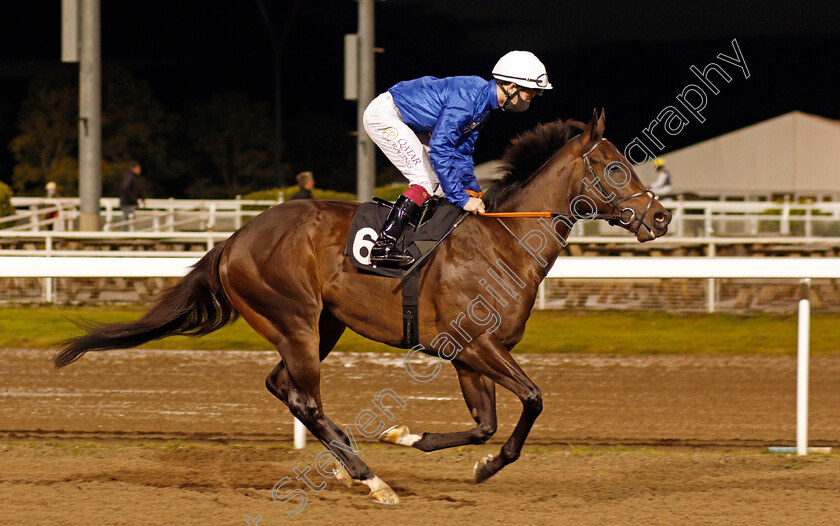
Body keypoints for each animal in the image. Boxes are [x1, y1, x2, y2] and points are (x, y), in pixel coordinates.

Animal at [50, 111, 668, 508]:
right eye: (615, 167)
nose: (660, 217)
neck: (503, 242)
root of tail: (234, 240)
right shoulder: (475, 345)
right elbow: (534, 400)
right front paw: (442, 456)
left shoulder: (470, 354)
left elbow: (485, 426)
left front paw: (419, 442)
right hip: (296, 321)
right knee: (303, 396)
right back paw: (371, 480)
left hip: (323, 325)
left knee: (282, 388)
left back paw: (359, 468)